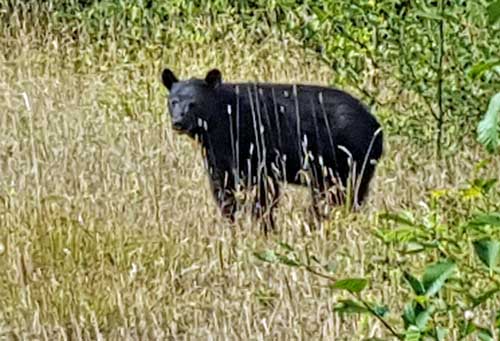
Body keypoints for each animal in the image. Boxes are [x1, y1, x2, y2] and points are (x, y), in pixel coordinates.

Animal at [160, 67, 382, 230]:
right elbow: (223, 187)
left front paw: (265, 226)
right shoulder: (219, 151)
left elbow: (264, 192)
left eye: (194, 103)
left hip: (350, 159)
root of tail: (377, 126)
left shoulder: (255, 145)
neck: (223, 118)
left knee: (344, 195)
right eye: (173, 101)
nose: (178, 122)